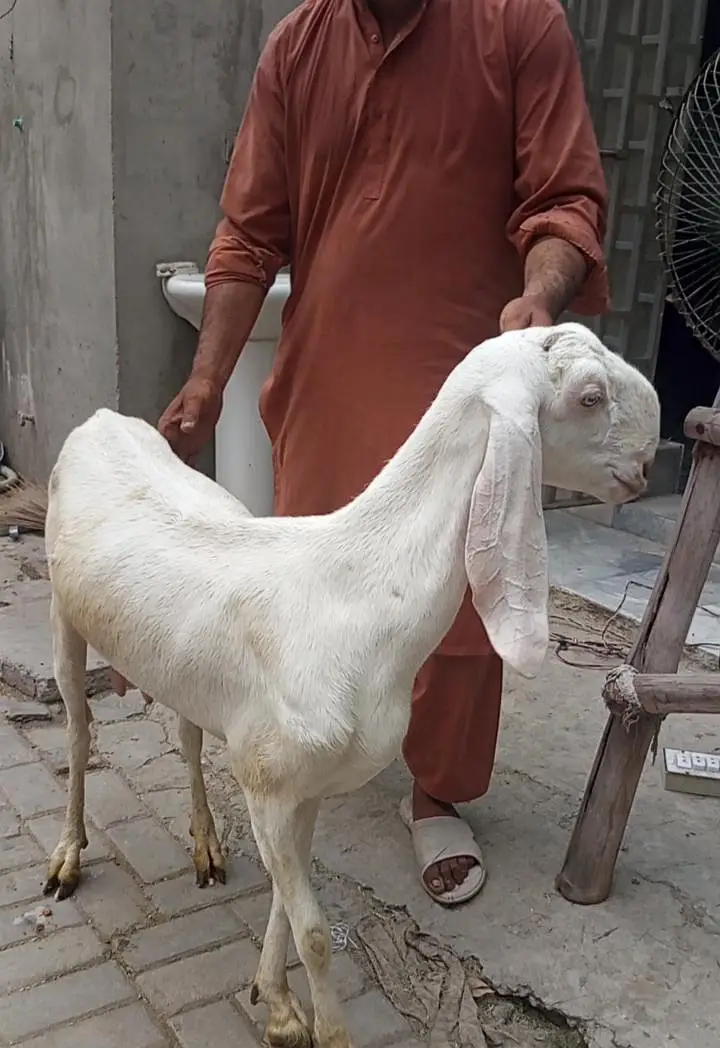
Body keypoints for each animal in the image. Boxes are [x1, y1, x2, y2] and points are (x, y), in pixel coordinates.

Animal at [43, 322, 659, 1048]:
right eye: (590, 397)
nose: (646, 469)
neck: (356, 595)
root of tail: (101, 419)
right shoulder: (269, 781)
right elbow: (313, 931)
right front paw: (319, 1026)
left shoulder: (302, 784)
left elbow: (288, 900)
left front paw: (278, 1004)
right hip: (62, 612)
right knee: (79, 735)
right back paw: (66, 861)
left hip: (179, 669)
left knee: (188, 738)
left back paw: (206, 848)